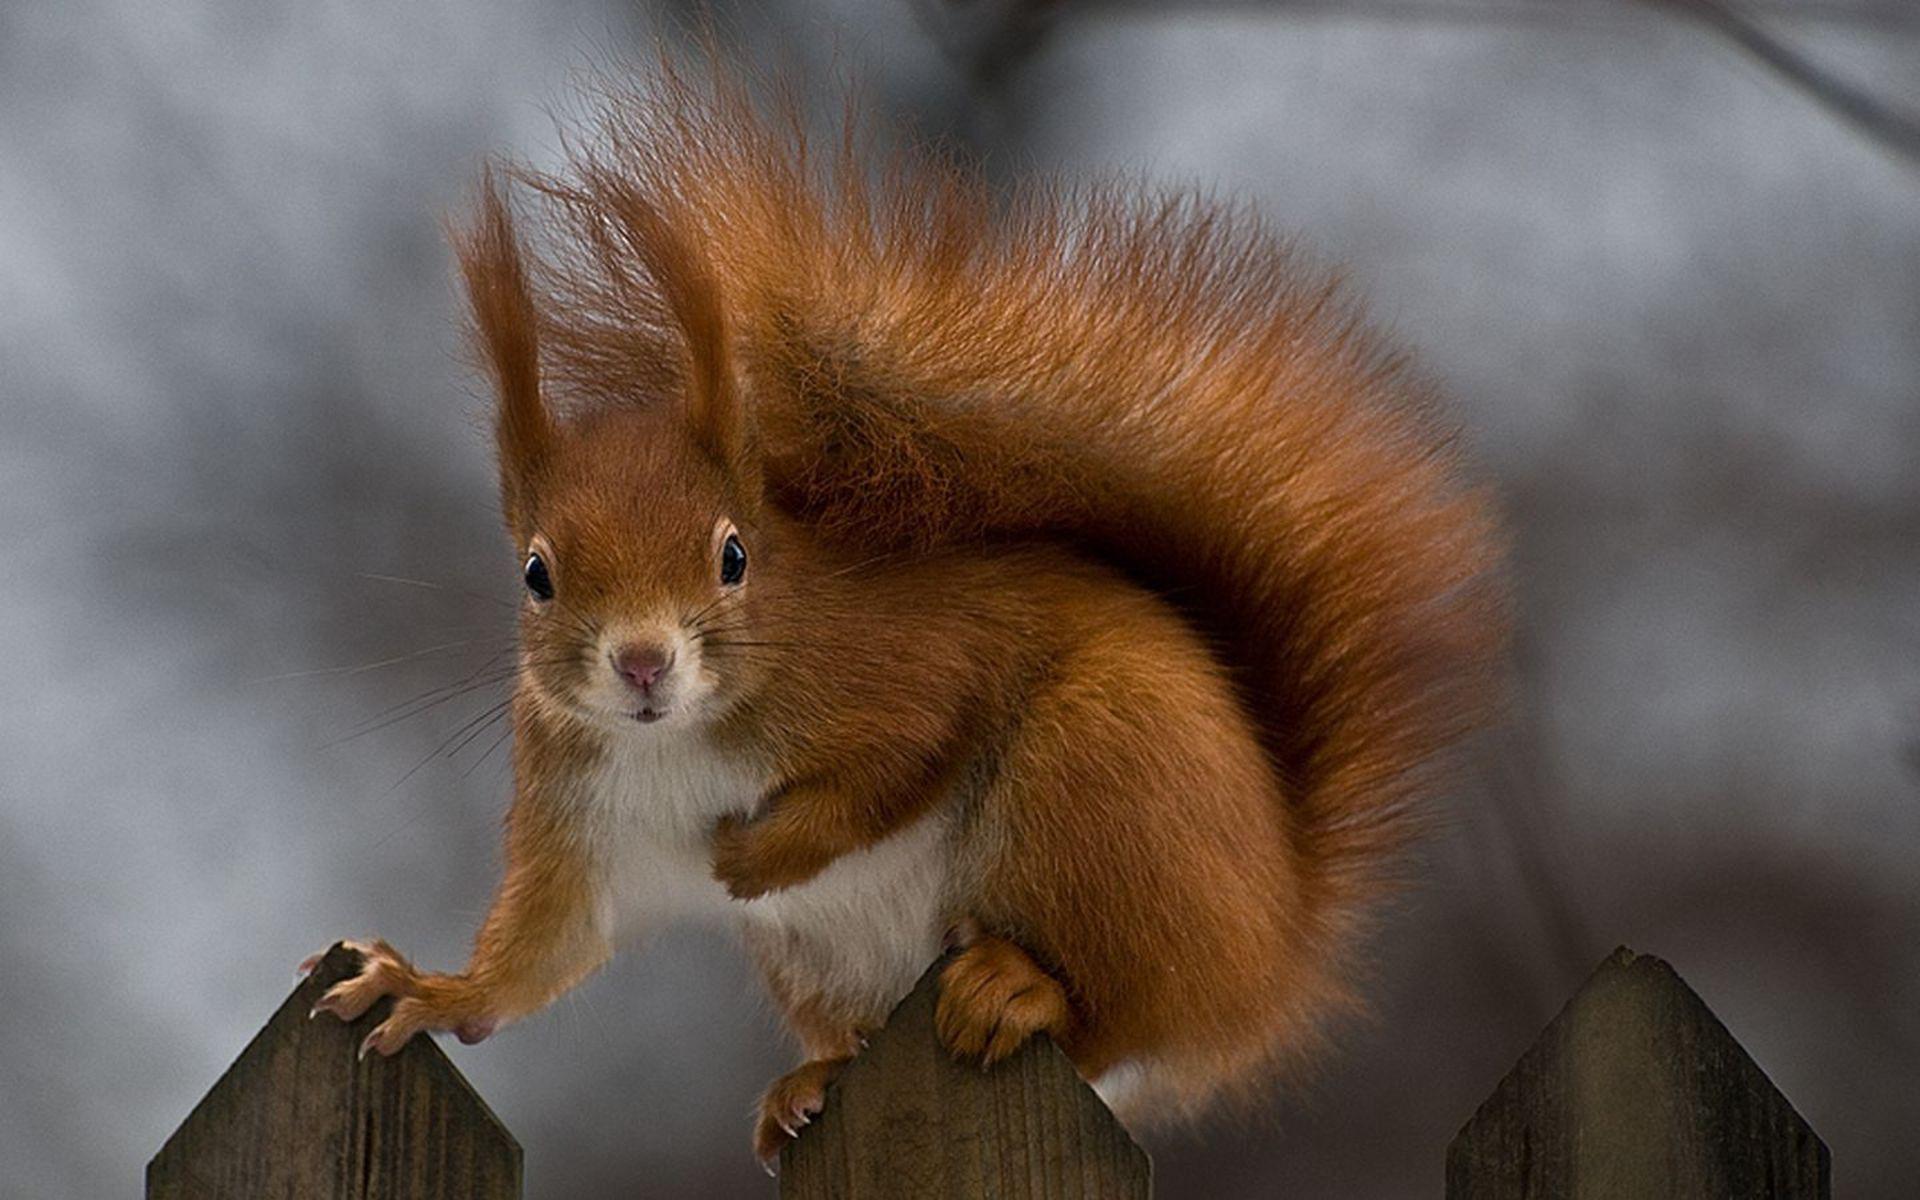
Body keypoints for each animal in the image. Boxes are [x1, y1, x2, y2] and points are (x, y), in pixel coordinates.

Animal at [307, 61, 1505, 1163]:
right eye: (536, 575)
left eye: (735, 554)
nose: (642, 663)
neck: (682, 740)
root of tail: (1273, 947)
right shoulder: (580, 813)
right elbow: (542, 949)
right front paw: (429, 989)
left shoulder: (907, 666)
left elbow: (905, 756)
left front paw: (761, 858)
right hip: (835, 953)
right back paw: (815, 1080)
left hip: (1101, 787)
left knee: (1115, 1017)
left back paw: (1020, 990)